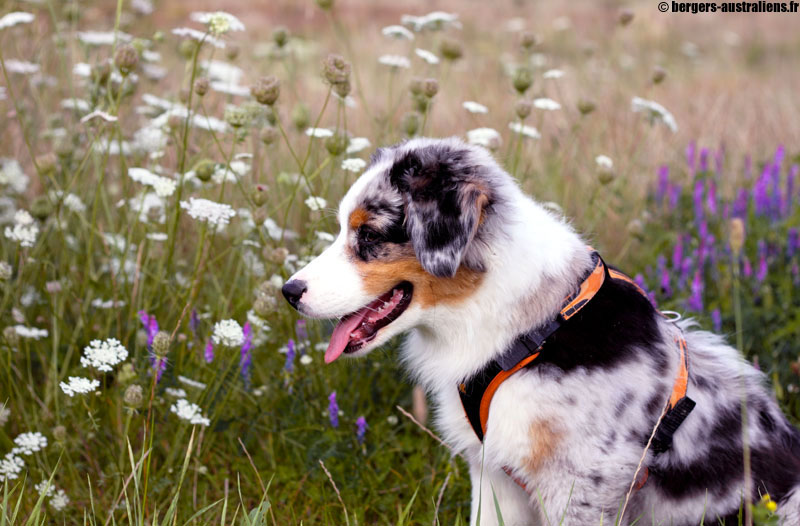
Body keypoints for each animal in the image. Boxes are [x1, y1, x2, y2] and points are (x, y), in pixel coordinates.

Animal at [282, 138, 800, 524]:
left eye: (368, 237)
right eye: (341, 230)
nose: (289, 291)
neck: (531, 331)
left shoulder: (582, 484)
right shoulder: (493, 475)